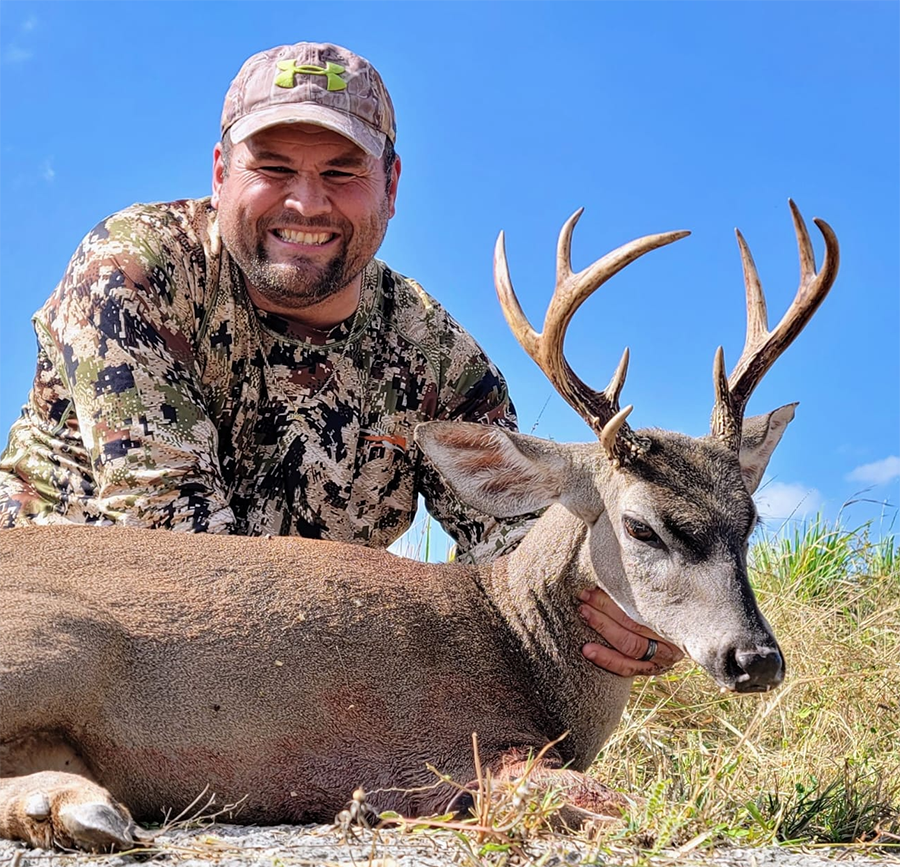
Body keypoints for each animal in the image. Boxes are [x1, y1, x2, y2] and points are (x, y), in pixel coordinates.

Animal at [0, 201, 838, 852]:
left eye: (751, 517)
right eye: (640, 526)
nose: (755, 658)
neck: (516, 637)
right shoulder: (473, 752)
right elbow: (640, 806)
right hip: (59, 639)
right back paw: (83, 806)